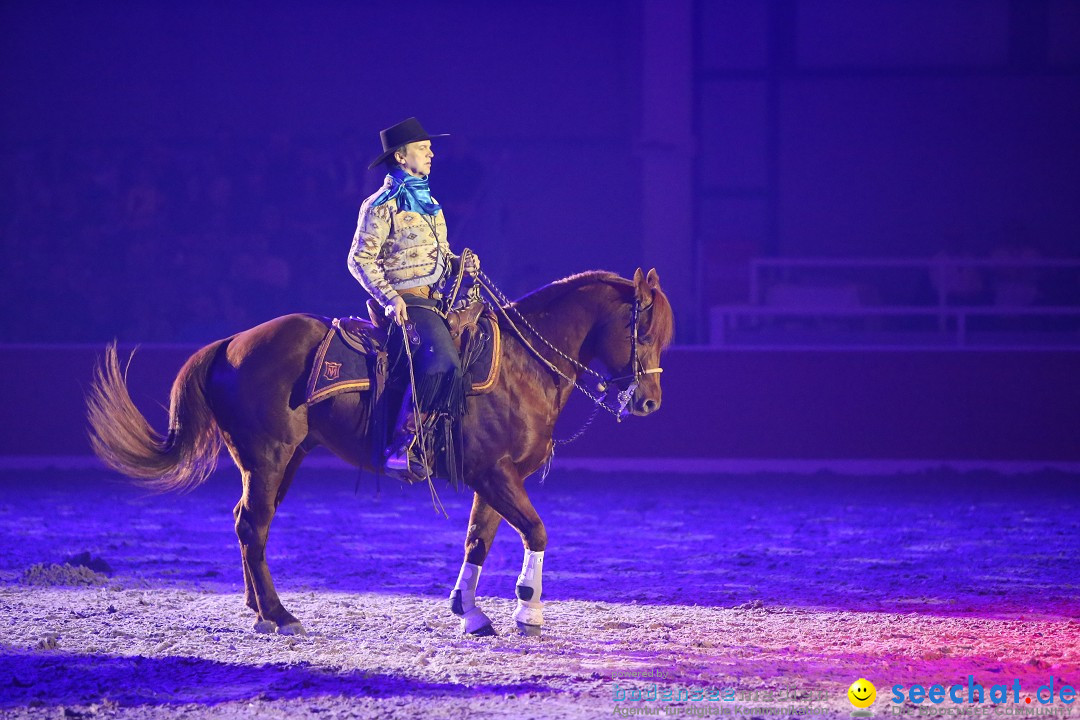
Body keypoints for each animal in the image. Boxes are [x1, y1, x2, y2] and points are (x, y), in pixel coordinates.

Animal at [86, 268, 673, 634]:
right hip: (267, 456)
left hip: (282, 460)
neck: (522, 366)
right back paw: (280, 616)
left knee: (248, 523)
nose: (648, 402)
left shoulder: (495, 478)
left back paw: (259, 607)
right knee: (252, 525)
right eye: (642, 331)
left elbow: (477, 541)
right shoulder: (495, 474)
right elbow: (536, 530)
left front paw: (469, 613)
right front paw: (528, 613)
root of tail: (230, 344)